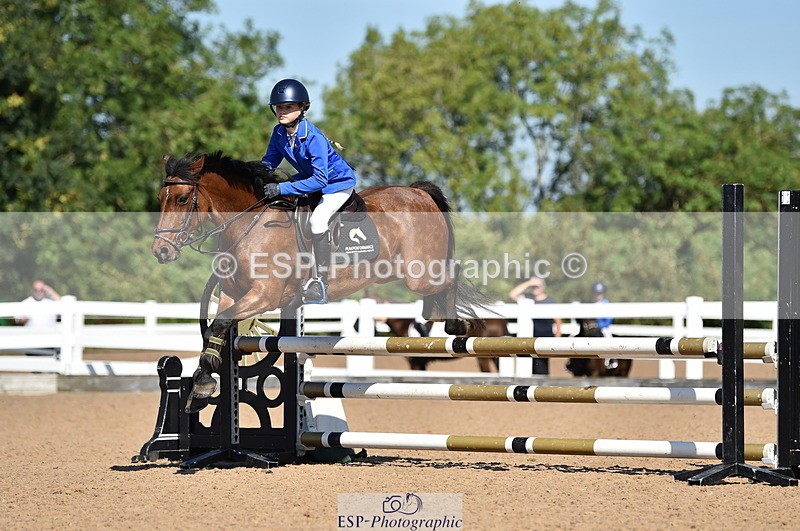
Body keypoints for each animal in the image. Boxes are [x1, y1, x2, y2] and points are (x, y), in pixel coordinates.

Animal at [151, 152, 486, 411]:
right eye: (160, 199)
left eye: (183, 199)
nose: (161, 251)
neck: (250, 223)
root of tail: (419, 193)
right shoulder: (233, 295)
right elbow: (215, 330)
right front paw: (200, 387)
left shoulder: (264, 295)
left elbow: (219, 324)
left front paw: (202, 385)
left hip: (419, 273)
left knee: (451, 274)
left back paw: (457, 324)